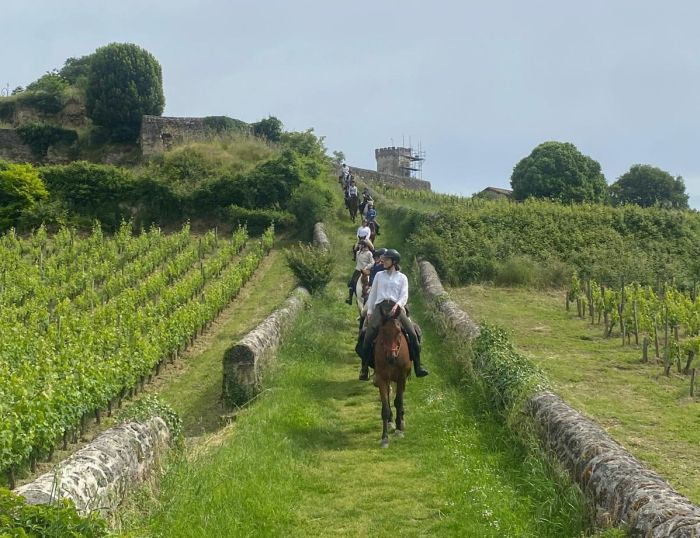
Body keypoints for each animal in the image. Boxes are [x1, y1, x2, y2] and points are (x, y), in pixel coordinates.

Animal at [372, 306, 410, 448]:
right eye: (383, 331)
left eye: (399, 331)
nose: (391, 357)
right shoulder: (382, 378)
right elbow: (385, 408)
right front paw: (384, 437)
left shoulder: (401, 377)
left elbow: (398, 401)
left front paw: (399, 429)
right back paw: (390, 422)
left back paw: (401, 421)